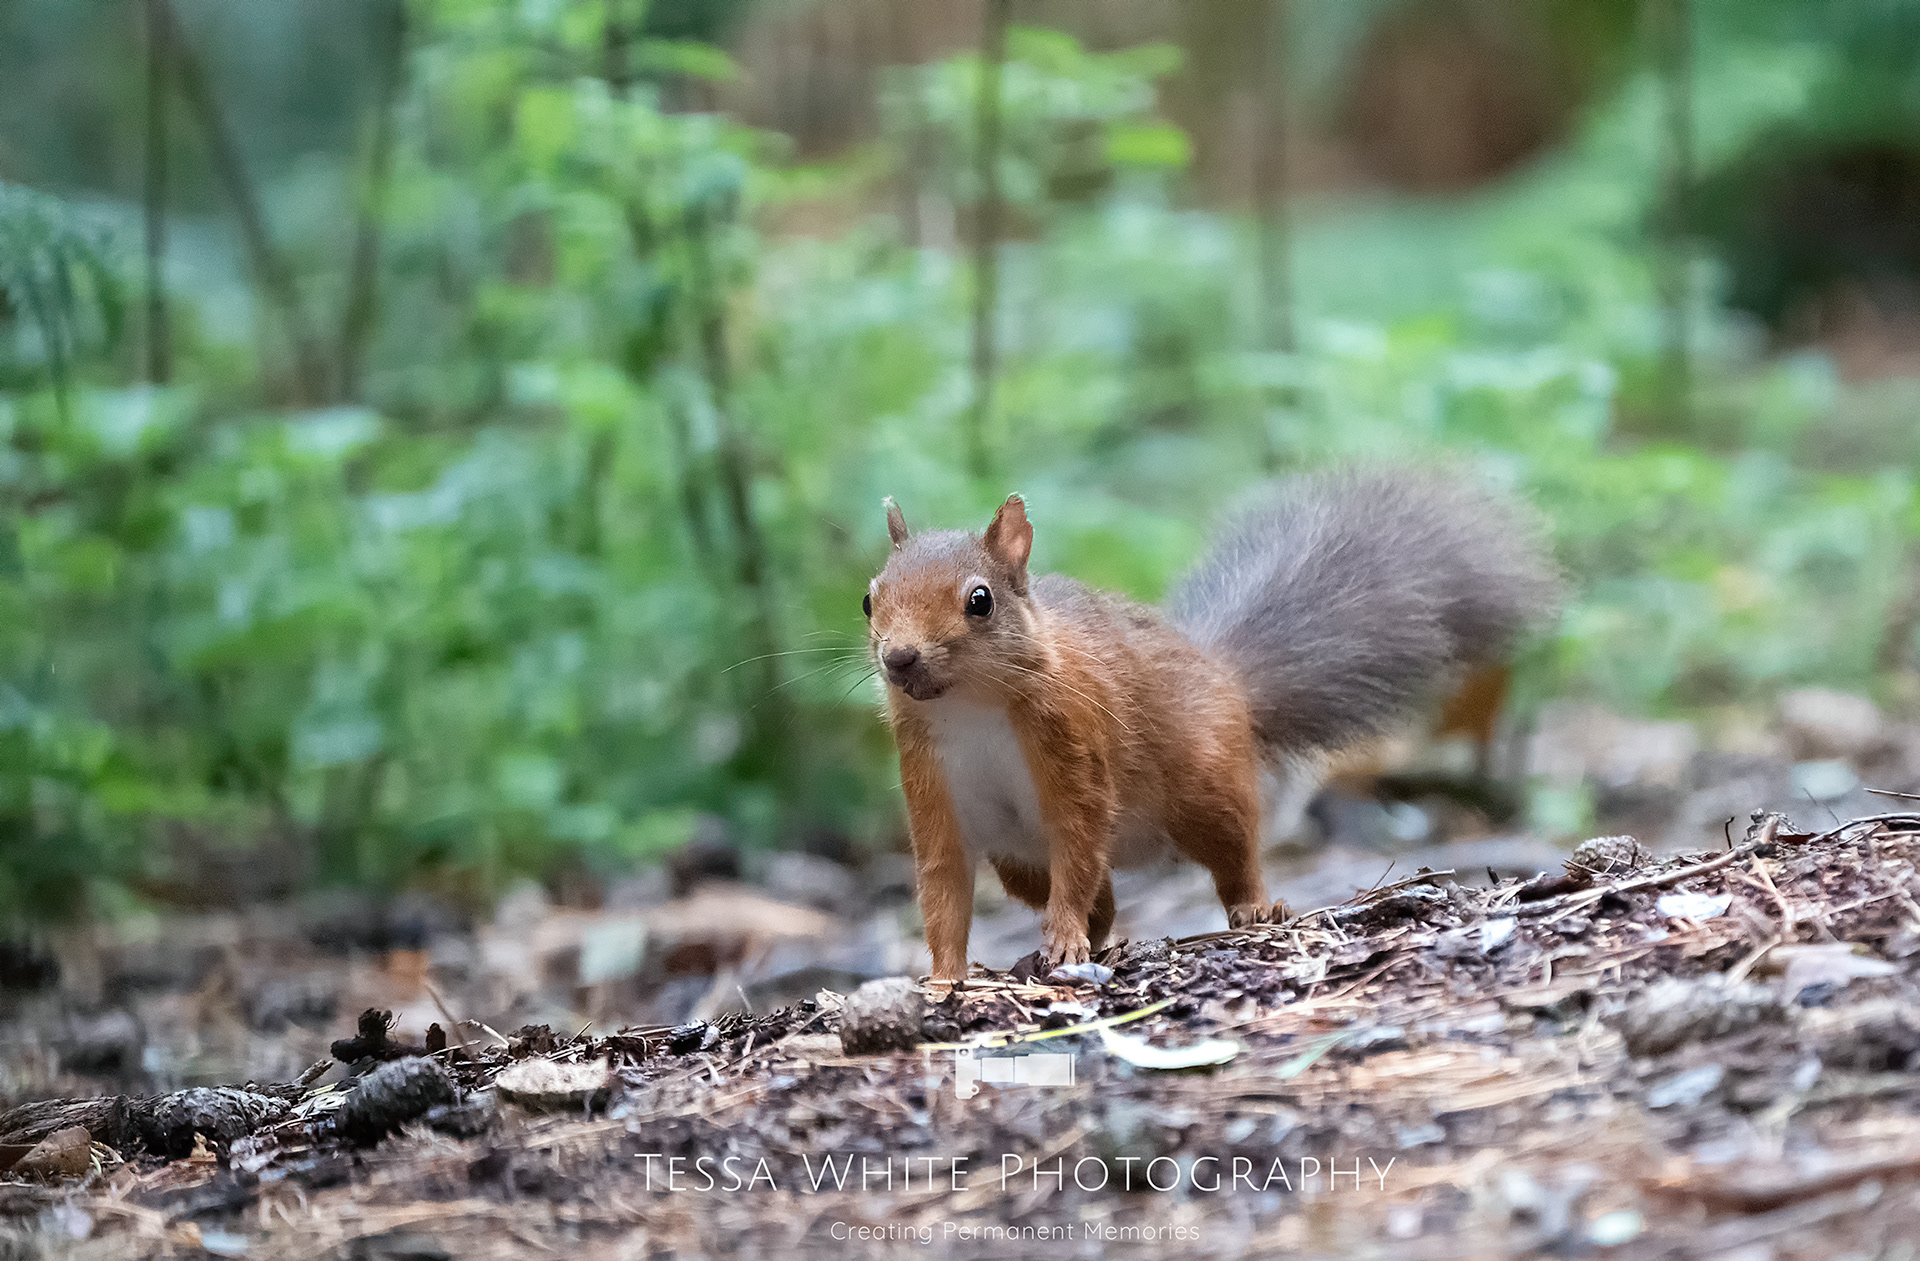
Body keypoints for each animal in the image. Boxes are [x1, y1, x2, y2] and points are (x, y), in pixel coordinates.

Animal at [865, 468, 1560, 982]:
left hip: (1205, 791)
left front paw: (1062, 940)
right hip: (1019, 859)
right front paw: (944, 978)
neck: (969, 708)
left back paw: (1251, 908)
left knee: (1228, 851)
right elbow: (944, 887)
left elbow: (1077, 847)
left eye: (979, 601)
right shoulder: (931, 787)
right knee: (1104, 897)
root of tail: (1224, 678)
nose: (900, 658)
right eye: (870, 599)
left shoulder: (1073, 750)